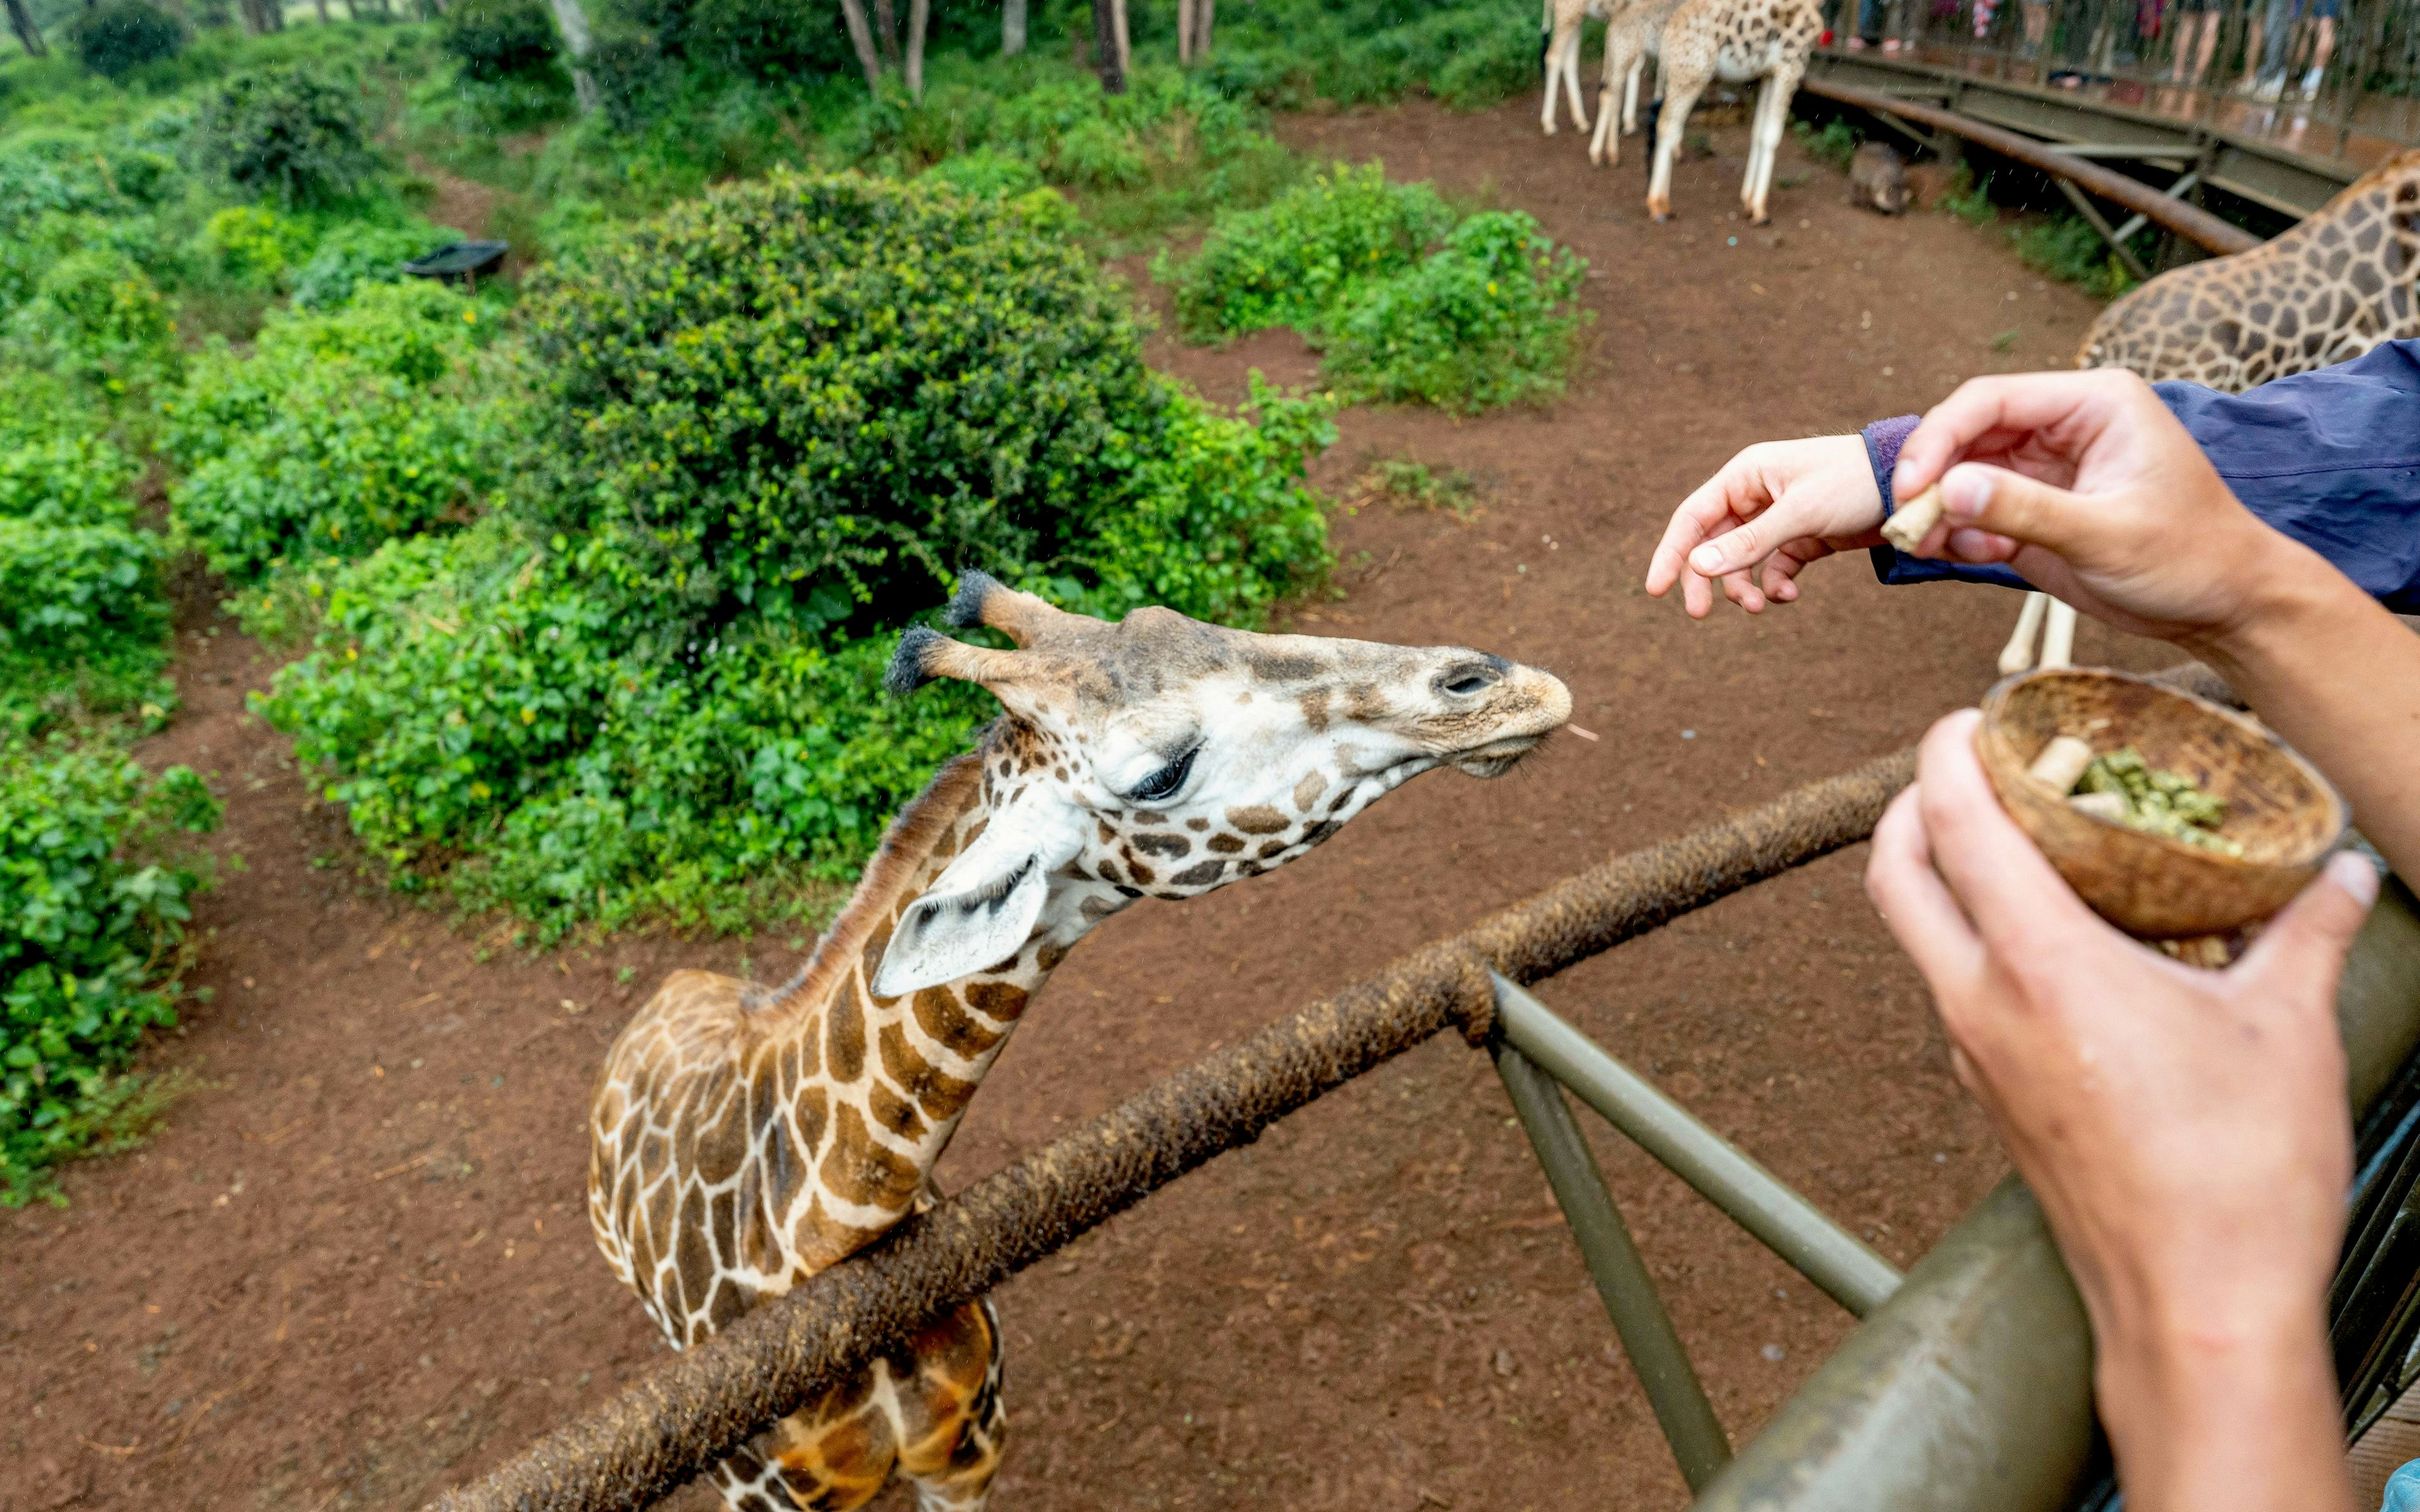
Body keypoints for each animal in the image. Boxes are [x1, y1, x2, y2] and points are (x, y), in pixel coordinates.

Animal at [588, 572, 1573, 1512]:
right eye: (1160, 773)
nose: (1512, 686)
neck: (819, 1246)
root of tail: (675, 989)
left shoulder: (970, 1452)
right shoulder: (769, 1497)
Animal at [1587, 0, 1822, 226]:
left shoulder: (1767, 74)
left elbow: (1758, 133)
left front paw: (1748, 201)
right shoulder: (1790, 66)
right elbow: (1772, 137)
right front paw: (1760, 211)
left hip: (1669, 69)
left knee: (1627, 101)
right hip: (1691, 72)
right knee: (1665, 122)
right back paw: (1657, 204)